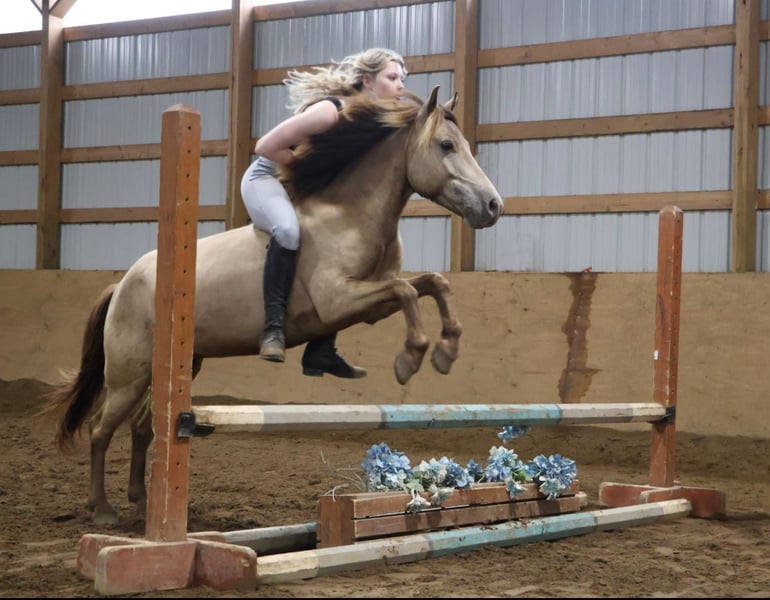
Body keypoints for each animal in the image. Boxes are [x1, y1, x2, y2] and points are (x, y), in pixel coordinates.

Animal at [44, 86, 503, 526]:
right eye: (446, 145)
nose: (493, 206)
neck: (351, 212)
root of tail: (123, 283)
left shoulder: (368, 300)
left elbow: (433, 284)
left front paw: (446, 351)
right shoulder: (340, 299)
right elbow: (408, 292)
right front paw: (412, 359)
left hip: (177, 365)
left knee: (144, 428)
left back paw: (141, 501)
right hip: (128, 375)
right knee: (101, 431)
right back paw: (103, 509)